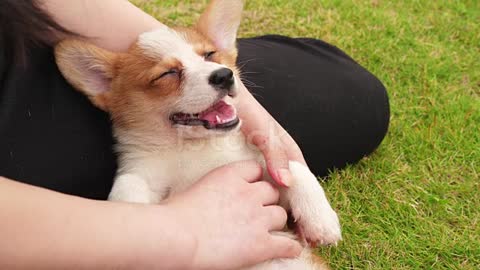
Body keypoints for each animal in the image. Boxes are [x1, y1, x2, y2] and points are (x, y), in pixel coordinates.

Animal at [55, 0, 342, 268]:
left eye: (210, 55)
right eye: (168, 73)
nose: (224, 75)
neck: (194, 148)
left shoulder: (265, 174)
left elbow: (294, 169)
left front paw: (321, 219)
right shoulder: (142, 172)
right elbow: (128, 184)